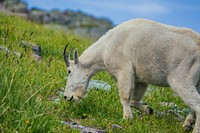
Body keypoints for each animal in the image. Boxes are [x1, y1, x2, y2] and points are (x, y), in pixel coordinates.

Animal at [63, 18, 200, 132]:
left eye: (69, 71)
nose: (66, 97)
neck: (106, 47)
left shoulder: (124, 70)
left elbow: (124, 96)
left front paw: (127, 118)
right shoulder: (141, 79)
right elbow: (134, 100)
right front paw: (148, 110)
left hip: (181, 78)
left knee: (197, 104)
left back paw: (194, 129)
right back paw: (187, 124)